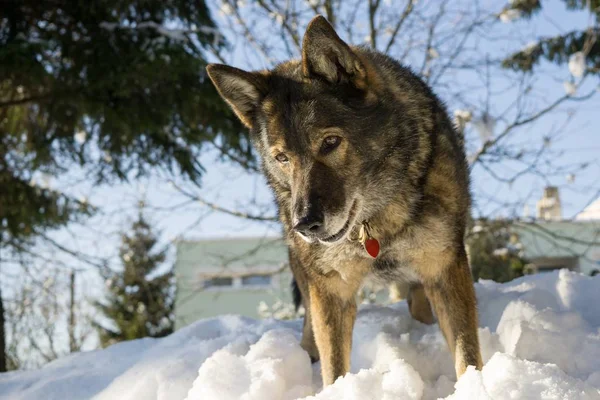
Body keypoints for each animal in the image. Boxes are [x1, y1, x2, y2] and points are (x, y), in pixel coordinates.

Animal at [206, 14, 482, 388]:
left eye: (331, 142)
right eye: (282, 158)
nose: (305, 224)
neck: (376, 219)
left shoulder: (443, 265)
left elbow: (466, 352)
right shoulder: (331, 290)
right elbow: (333, 365)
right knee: (309, 320)